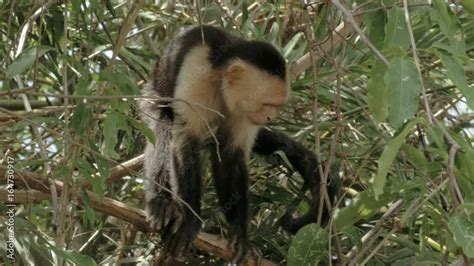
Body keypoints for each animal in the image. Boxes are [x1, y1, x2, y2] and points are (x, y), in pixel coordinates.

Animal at [139, 26, 336, 262]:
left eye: (276, 105)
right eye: (266, 104)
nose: (271, 117)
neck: (220, 76)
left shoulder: (245, 110)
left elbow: (230, 155)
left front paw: (241, 236)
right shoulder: (197, 71)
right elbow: (185, 141)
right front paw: (188, 221)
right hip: (150, 97)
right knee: (163, 127)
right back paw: (161, 203)